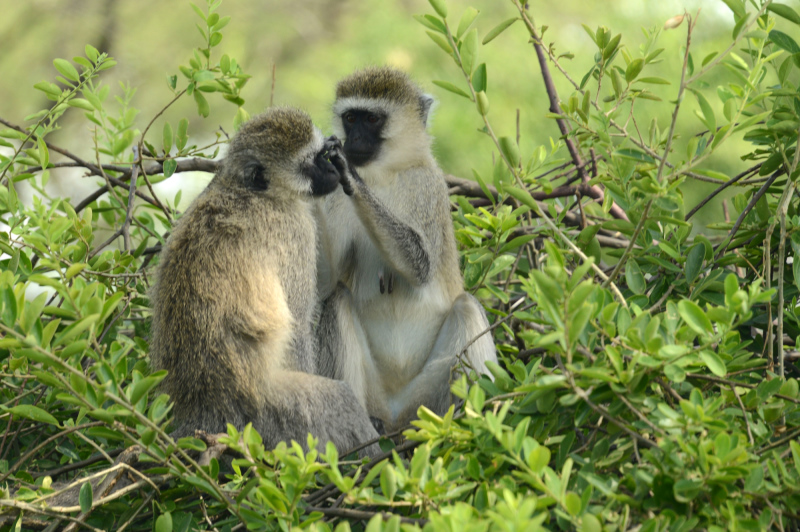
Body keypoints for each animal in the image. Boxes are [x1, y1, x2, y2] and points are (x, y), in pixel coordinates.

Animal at [150, 107, 382, 458]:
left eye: (323, 154)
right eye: (311, 162)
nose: (331, 169)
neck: (253, 192)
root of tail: (204, 411)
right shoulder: (297, 230)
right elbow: (298, 328)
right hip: (271, 418)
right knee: (338, 401)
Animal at [316, 67, 496, 432]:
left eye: (371, 119)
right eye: (350, 118)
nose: (353, 142)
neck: (382, 176)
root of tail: (397, 414)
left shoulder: (429, 187)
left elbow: (421, 266)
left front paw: (349, 173)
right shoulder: (336, 201)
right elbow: (325, 283)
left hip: (427, 400)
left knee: (467, 308)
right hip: (376, 393)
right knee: (338, 299)